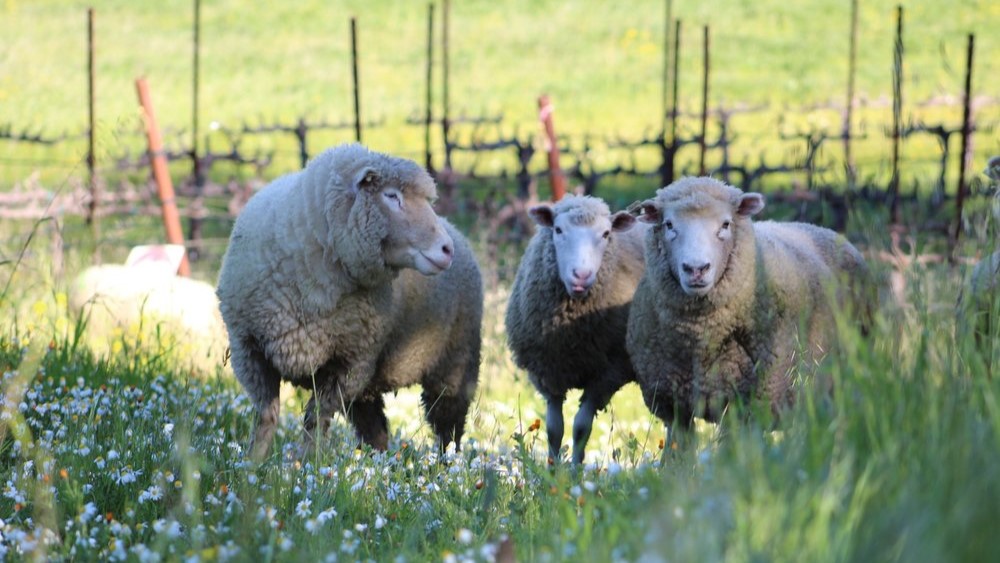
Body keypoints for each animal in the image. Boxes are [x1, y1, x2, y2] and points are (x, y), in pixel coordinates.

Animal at [217, 143, 482, 460]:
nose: (446, 249)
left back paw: (446, 465)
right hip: (373, 383)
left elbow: (315, 418)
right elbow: (266, 416)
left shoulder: (350, 362)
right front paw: (254, 463)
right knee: (376, 429)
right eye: (391, 196)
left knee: (448, 427)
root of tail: (455, 229)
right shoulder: (250, 351)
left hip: (455, 362)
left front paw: (306, 463)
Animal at [508, 196, 648, 464]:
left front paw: (574, 472)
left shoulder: (605, 376)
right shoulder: (548, 373)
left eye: (606, 234)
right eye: (558, 230)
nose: (581, 276)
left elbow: (581, 429)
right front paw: (552, 470)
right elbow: (554, 429)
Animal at [628, 176, 872, 436]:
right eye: (669, 224)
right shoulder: (673, 408)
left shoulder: (746, 407)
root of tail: (819, 227)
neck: (701, 338)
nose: (696, 268)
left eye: (725, 224)